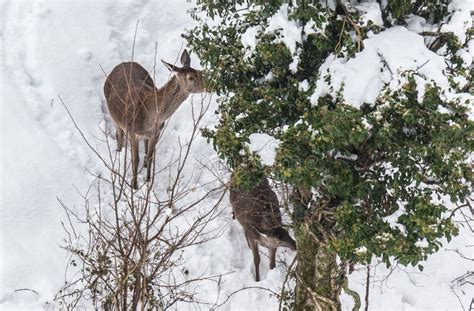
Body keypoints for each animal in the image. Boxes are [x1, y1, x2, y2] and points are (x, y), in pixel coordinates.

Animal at [104, 50, 205, 189]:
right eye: (190, 77)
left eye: (199, 72)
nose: (209, 85)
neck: (150, 117)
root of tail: (122, 63)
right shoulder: (132, 132)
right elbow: (135, 160)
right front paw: (134, 186)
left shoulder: (157, 132)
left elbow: (151, 157)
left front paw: (148, 182)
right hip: (115, 117)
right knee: (119, 134)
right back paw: (118, 152)